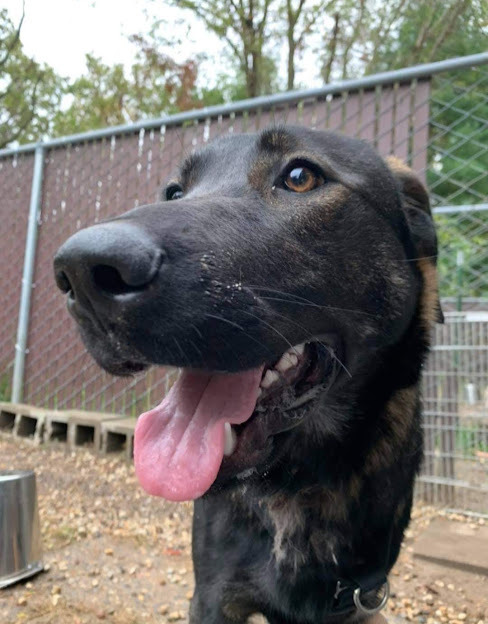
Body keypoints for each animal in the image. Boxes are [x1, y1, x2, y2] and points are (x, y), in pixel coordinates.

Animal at [53, 127, 442, 624]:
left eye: (300, 177)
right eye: (174, 192)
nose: (80, 272)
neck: (297, 483)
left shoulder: (357, 598)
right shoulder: (214, 594)